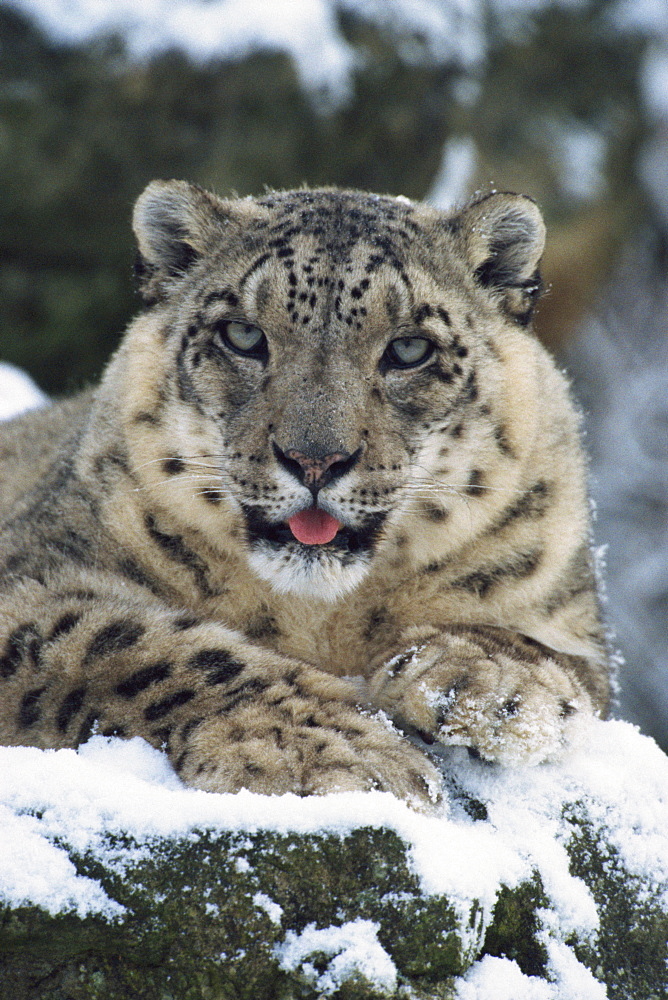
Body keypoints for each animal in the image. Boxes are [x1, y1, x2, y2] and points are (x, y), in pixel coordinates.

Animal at [0, 178, 612, 804]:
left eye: (410, 349)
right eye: (243, 335)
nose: (315, 459)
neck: (321, 618)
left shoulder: (569, 610)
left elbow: (559, 656)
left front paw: (486, 684)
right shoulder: (33, 576)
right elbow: (134, 644)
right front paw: (334, 748)